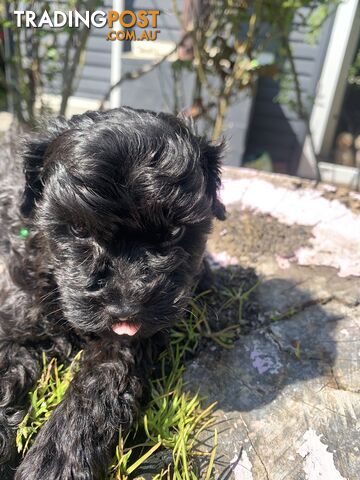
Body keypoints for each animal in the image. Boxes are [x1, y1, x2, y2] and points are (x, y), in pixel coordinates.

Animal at [0, 107, 225, 478]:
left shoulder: (130, 340)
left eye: (175, 231)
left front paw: (56, 459)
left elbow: (101, 380)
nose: (125, 308)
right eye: (78, 229)